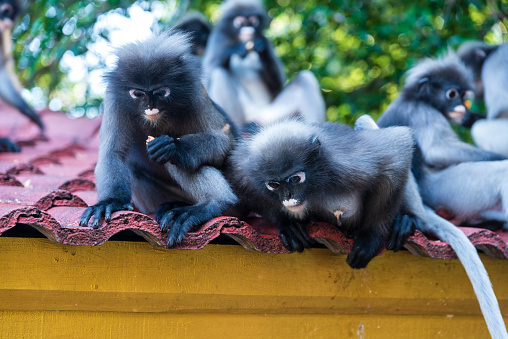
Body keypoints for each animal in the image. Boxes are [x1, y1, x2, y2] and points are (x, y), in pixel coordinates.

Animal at [79, 31, 238, 247]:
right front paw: (109, 202)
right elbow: (113, 153)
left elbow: (224, 141)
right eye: (138, 93)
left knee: (176, 161)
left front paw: (175, 147)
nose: (150, 108)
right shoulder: (114, 99)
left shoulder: (196, 92)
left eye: (161, 92)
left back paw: (213, 203)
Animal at [202, 0, 326, 129]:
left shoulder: (266, 40)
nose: (248, 29)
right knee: (218, 73)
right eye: (240, 23)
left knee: (305, 78)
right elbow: (206, 77)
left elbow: (278, 85)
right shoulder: (217, 38)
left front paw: (262, 49)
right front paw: (233, 50)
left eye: (253, 22)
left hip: (275, 115)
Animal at [228, 119, 414, 268]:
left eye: (295, 179)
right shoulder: (244, 172)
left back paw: (403, 222)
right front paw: (288, 224)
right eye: (274, 184)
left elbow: (397, 154)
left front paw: (370, 239)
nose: (288, 197)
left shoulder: (348, 164)